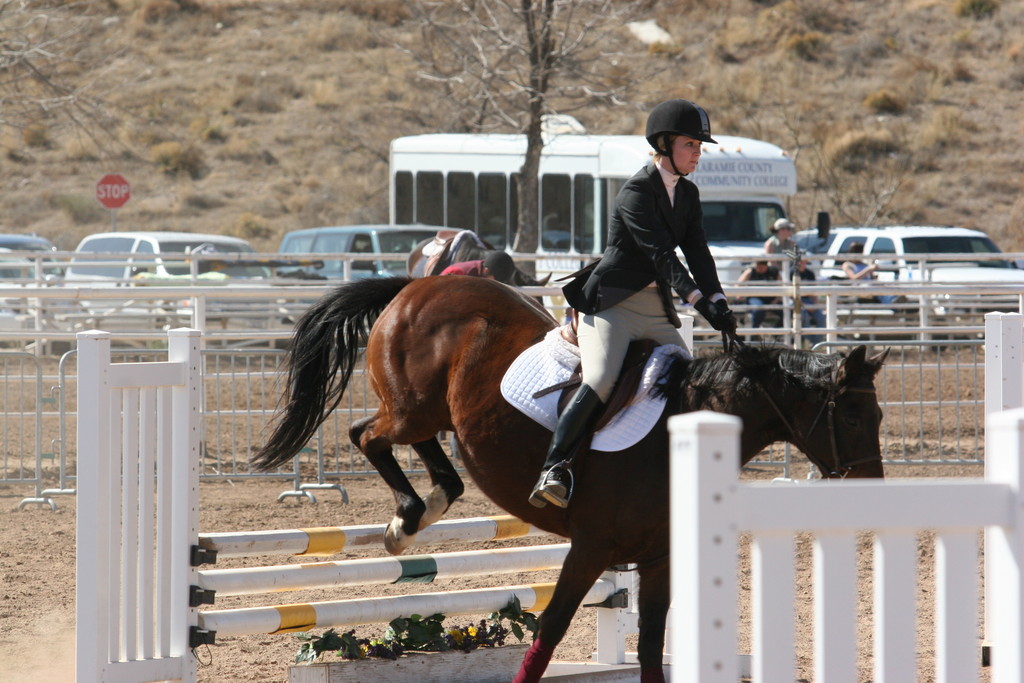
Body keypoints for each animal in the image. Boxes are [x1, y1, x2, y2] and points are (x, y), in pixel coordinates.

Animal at [251, 276, 884, 683]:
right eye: (854, 417)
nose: (873, 495)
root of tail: (414, 285)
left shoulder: (658, 557)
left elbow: (649, 645)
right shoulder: (592, 547)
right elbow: (550, 628)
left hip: (431, 414)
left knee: (422, 456)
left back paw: (425, 506)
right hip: (412, 408)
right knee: (367, 434)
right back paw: (407, 519)